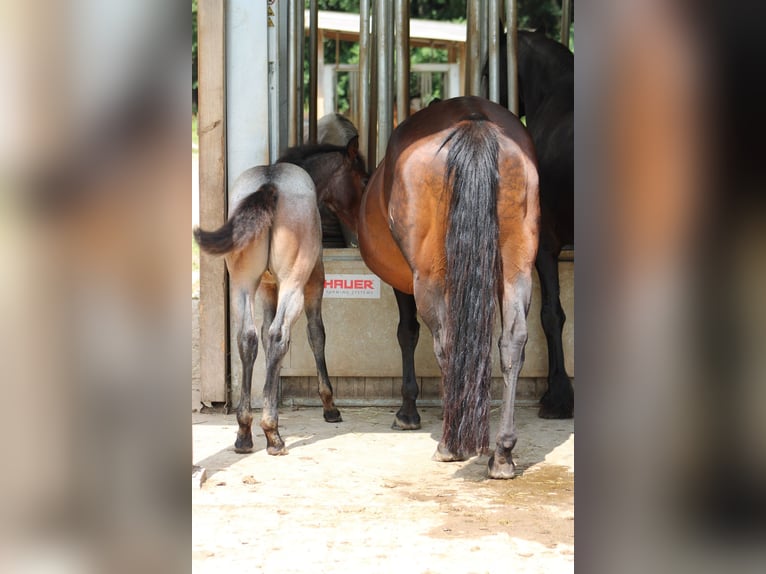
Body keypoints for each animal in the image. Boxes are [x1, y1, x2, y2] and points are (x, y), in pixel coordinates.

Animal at [195, 138, 368, 454]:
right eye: (362, 179)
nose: (360, 229)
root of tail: (269, 185)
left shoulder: (266, 289)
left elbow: (261, 336)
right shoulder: (314, 281)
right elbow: (316, 334)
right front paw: (329, 406)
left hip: (243, 285)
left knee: (248, 338)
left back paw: (244, 432)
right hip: (294, 284)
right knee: (279, 336)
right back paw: (272, 433)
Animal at [358, 97, 540, 480]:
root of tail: (473, 121)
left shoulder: (406, 285)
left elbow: (407, 334)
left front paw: (407, 412)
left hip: (429, 278)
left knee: (447, 342)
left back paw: (450, 444)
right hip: (517, 268)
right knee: (513, 342)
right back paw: (502, 454)